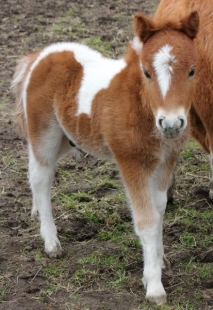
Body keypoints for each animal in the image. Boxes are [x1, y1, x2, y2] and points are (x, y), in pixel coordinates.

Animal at [11, 9, 198, 306]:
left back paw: (36, 213)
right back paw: (51, 243)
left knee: (32, 173)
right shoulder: (131, 162)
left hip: (68, 138)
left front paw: (159, 263)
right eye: (146, 72)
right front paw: (154, 287)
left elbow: (159, 210)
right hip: (44, 133)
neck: (138, 104)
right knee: (41, 177)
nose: (171, 124)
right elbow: (147, 220)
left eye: (192, 70)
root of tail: (41, 54)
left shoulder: (166, 161)